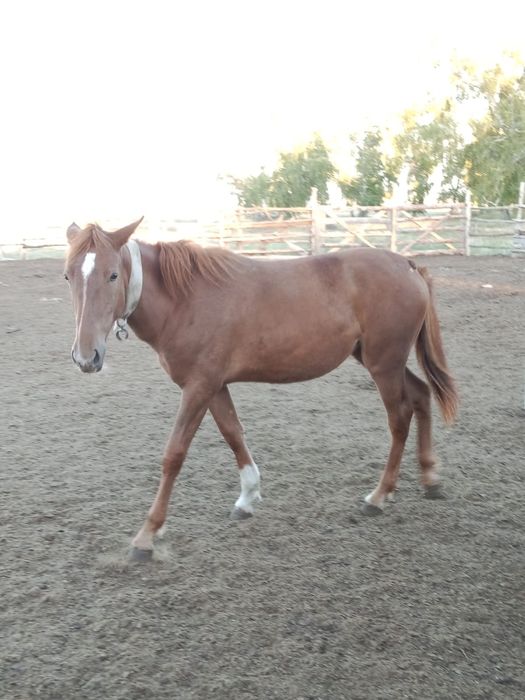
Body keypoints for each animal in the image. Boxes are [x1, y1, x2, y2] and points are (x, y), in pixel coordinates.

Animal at [64, 218, 458, 560]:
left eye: (113, 274)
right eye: (68, 275)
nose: (86, 357)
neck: (185, 300)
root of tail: (407, 264)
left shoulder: (198, 386)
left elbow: (174, 454)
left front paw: (147, 535)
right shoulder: (214, 386)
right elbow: (233, 433)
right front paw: (248, 497)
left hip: (384, 365)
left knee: (400, 418)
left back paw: (379, 496)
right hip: (382, 361)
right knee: (421, 396)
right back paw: (430, 478)